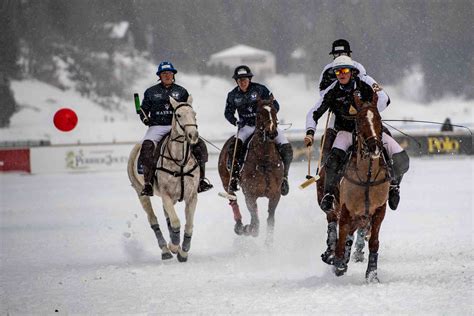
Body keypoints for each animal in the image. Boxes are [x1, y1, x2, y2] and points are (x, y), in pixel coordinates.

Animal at [127, 95, 199, 262]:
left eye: (194, 114)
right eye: (178, 115)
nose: (193, 136)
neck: (180, 162)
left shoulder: (192, 196)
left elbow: (189, 225)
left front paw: (183, 251)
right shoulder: (166, 195)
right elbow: (176, 222)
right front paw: (174, 246)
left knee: (167, 218)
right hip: (141, 192)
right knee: (153, 219)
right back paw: (165, 249)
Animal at [218, 98, 284, 244]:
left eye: (274, 111)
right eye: (258, 114)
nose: (272, 133)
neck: (264, 160)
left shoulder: (275, 194)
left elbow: (270, 219)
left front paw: (268, 244)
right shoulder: (250, 194)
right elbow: (255, 222)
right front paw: (248, 229)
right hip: (226, 182)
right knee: (233, 200)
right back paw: (239, 226)